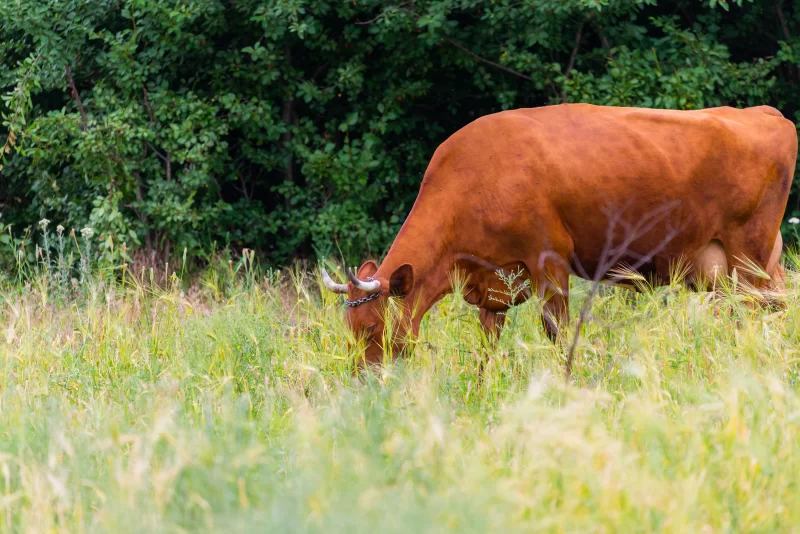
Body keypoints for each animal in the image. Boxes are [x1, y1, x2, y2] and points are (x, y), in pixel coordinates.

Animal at [321, 103, 797, 366]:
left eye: (371, 328)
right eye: (349, 327)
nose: (364, 380)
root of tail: (762, 113)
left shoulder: (549, 260)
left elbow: (556, 332)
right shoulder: (494, 283)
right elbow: (486, 346)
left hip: (749, 256)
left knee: (760, 312)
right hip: (750, 263)